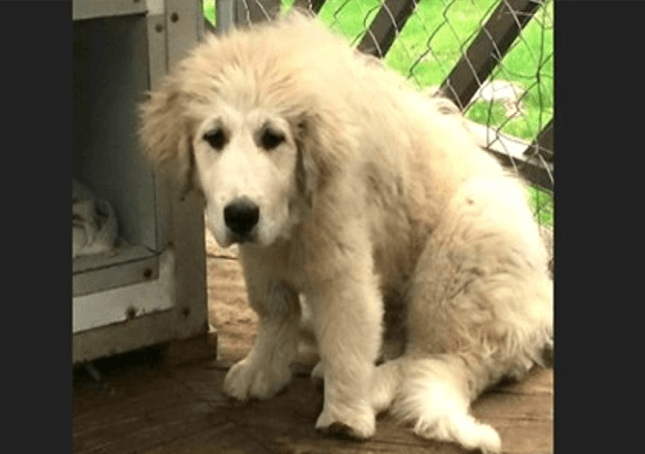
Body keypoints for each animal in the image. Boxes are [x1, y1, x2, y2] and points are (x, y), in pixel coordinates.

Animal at [140, 11, 548, 454]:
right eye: (214, 138)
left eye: (273, 138)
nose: (241, 215)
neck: (295, 211)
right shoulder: (262, 253)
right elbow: (275, 311)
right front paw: (263, 370)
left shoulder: (342, 263)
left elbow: (347, 336)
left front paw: (345, 416)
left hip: (462, 251)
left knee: (436, 357)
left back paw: (373, 385)